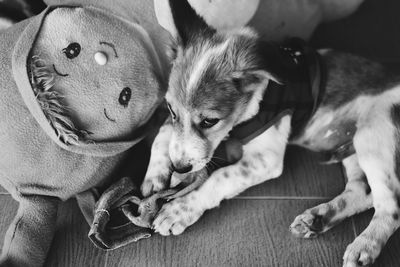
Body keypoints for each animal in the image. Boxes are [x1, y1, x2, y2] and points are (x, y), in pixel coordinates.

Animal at [141, 1, 400, 266]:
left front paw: (180, 210)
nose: (180, 167)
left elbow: (219, 177)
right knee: (363, 191)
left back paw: (365, 245)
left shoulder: (266, 159)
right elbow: (162, 134)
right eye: (171, 109)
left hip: (374, 135)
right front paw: (155, 175)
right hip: (352, 147)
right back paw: (318, 219)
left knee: (391, 207)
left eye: (210, 121)